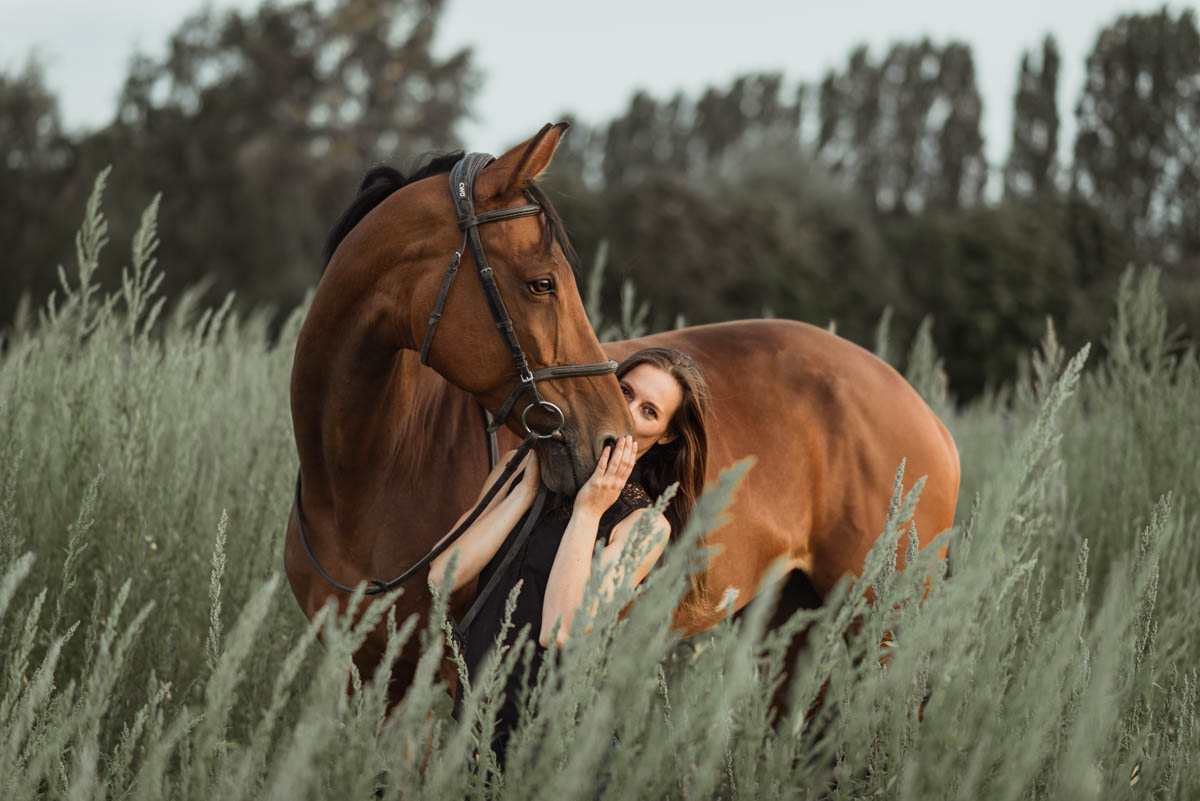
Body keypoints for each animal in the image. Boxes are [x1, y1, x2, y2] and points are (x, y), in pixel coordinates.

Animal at [285, 123, 960, 705]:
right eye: (542, 283)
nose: (611, 436)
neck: (371, 469)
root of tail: (926, 415)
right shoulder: (358, 674)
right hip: (794, 620)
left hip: (881, 627)